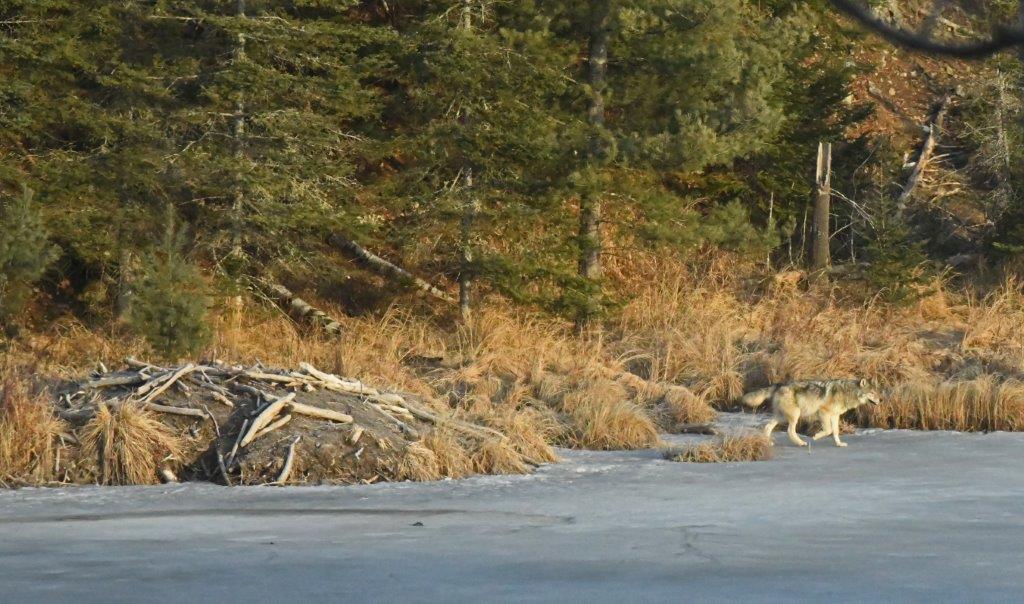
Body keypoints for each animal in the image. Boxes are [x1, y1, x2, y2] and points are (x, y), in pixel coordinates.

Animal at [741, 378, 882, 447]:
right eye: (872, 393)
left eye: (877, 392)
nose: (881, 400)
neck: (847, 392)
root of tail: (779, 384)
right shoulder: (824, 412)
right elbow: (828, 430)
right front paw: (816, 436)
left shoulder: (835, 415)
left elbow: (835, 432)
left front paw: (839, 444)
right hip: (795, 415)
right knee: (789, 431)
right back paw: (801, 443)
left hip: (781, 416)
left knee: (767, 427)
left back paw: (768, 443)